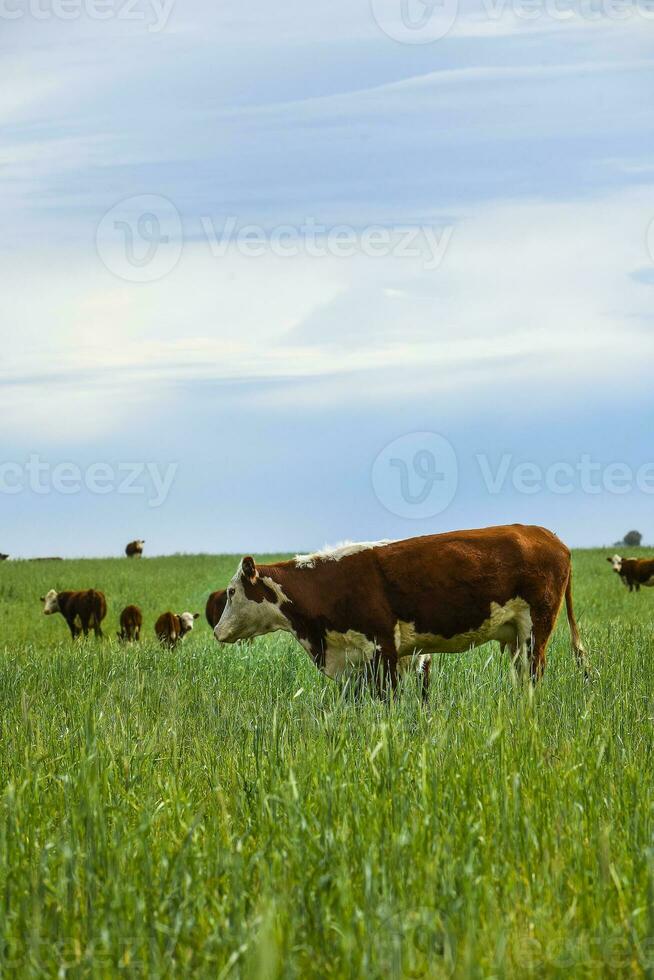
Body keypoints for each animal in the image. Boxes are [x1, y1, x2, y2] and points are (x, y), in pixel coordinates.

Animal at [214, 524, 588, 700]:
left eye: (231, 592)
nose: (217, 631)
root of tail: (548, 535)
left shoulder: (384, 648)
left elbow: (388, 700)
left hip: (536, 629)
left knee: (534, 675)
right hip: (514, 638)